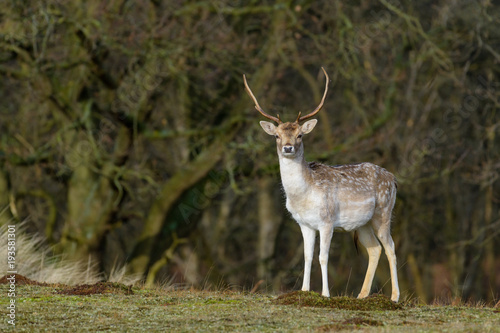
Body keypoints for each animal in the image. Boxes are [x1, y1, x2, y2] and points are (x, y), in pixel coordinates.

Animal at [244, 67, 400, 300]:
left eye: (300, 135)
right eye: (277, 136)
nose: (288, 147)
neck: (304, 196)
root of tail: (394, 179)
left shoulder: (327, 221)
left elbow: (323, 257)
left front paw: (325, 294)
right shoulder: (304, 223)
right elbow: (307, 257)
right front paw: (304, 290)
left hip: (383, 212)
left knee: (390, 246)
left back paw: (395, 297)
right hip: (362, 223)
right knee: (374, 249)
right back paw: (361, 296)